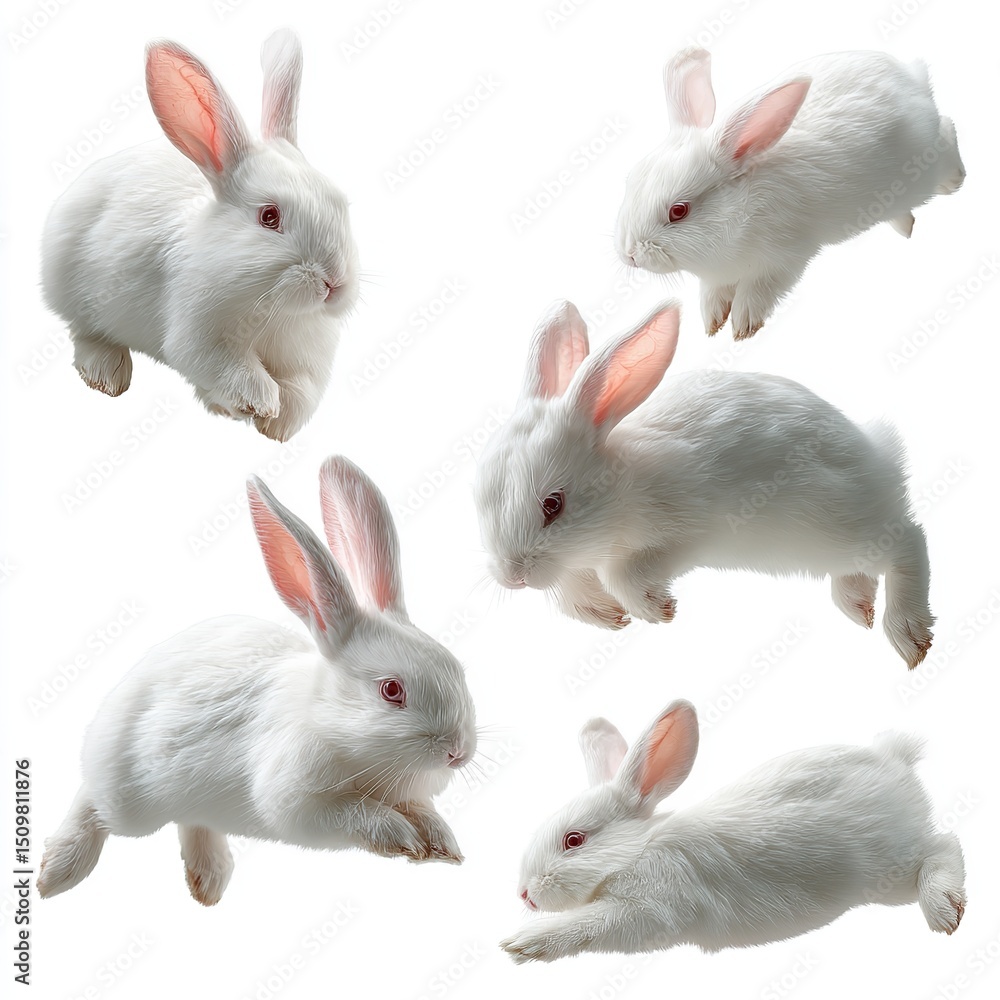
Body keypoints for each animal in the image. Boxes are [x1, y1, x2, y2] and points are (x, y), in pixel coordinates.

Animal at [37, 456, 477, 905]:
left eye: (458, 670)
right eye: (391, 690)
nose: (458, 753)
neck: (329, 722)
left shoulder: (404, 794)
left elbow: (423, 811)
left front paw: (443, 845)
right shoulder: (298, 801)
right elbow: (357, 815)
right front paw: (404, 839)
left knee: (192, 821)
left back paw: (209, 880)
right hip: (130, 801)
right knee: (91, 801)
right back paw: (56, 872)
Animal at [40, 29, 359, 441]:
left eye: (341, 203)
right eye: (269, 216)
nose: (335, 283)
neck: (275, 309)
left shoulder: (308, 360)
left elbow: (301, 391)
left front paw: (276, 425)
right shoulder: (201, 338)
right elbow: (231, 369)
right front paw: (259, 403)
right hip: (75, 292)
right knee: (86, 333)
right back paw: (107, 374)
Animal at [474, 299, 934, 668]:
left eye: (554, 504)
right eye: (480, 500)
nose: (512, 576)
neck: (623, 486)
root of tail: (880, 461)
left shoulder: (686, 533)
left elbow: (625, 573)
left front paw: (657, 610)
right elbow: (571, 590)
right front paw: (609, 616)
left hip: (834, 526)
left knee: (908, 541)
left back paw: (908, 635)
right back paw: (859, 606)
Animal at [501, 699, 967, 963]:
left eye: (573, 840)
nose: (523, 895)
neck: (637, 851)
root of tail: (895, 758)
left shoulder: (648, 910)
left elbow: (587, 924)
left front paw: (522, 944)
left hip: (889, 872)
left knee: (945, 845)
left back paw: (945, 909)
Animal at [615, 48, 965, 340]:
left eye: (679, 211)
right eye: (630, 182)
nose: (630, 255)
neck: (740, 208)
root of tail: (914, 78)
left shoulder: (783, 260)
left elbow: (756, 292)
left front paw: (743, 328)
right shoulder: (717, 276)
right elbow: (712, 294)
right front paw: (712, 324)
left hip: (924, 171)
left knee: (948, 129)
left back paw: (954, 181)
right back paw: (904, 224)